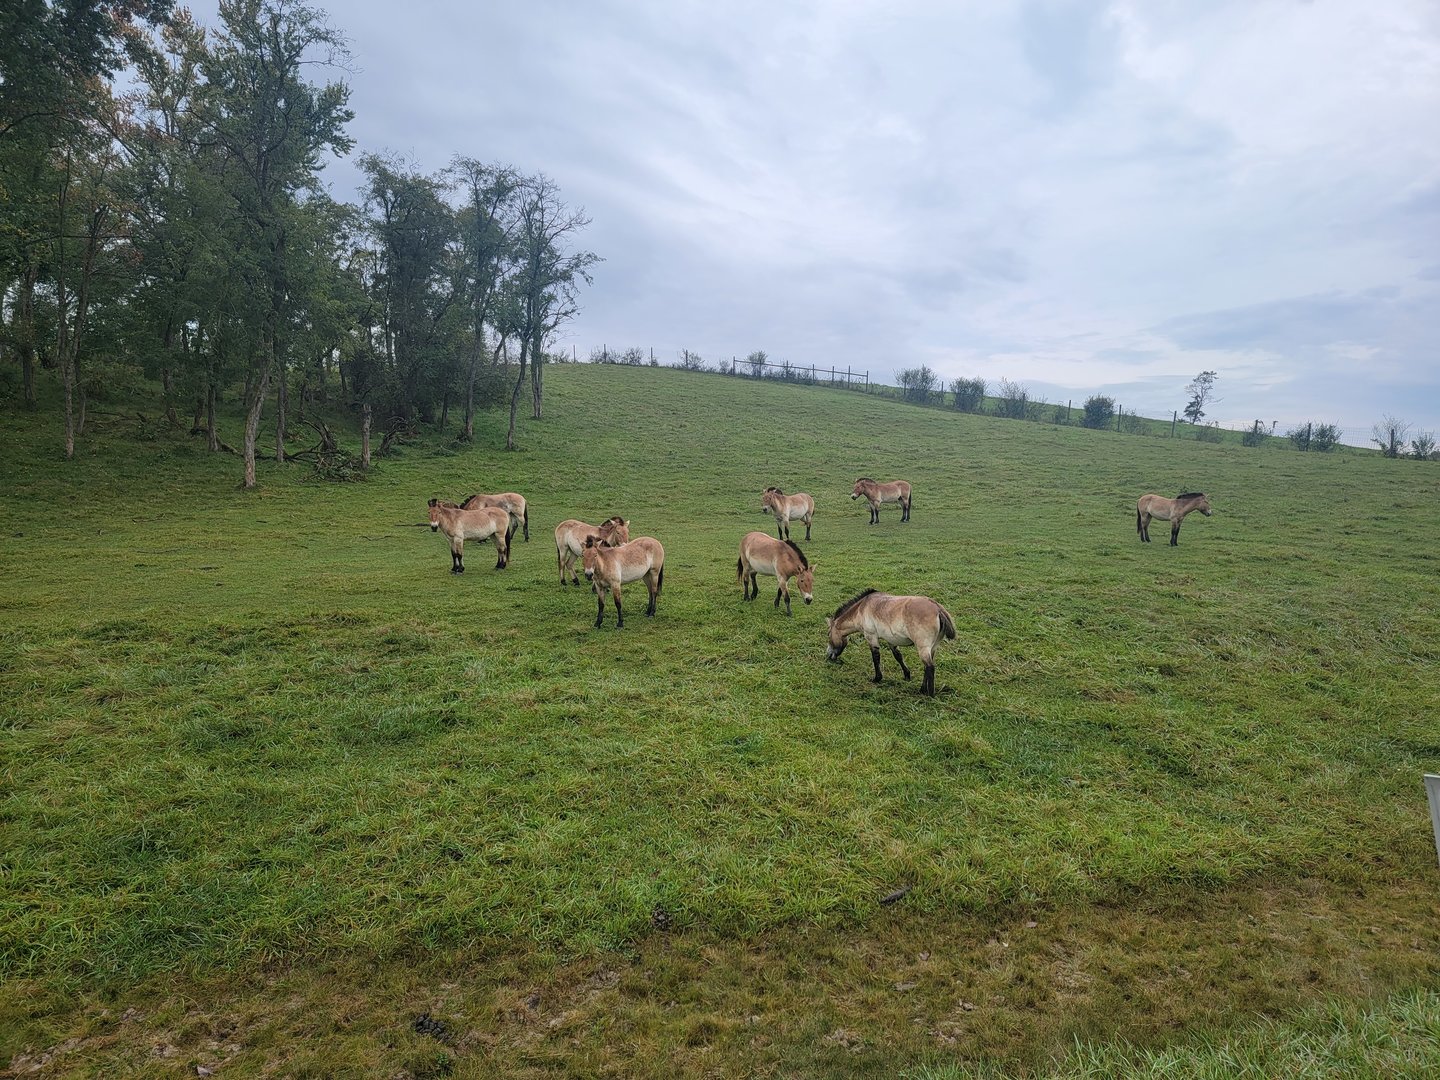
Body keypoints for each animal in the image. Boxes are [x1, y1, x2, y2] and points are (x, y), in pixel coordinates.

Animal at [825, 588, 955, 696]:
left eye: (828, 634)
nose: (828, 655)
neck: (862, 608)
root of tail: (938, 609)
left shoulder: (871, 637)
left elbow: (876, 657)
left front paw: (877, 678)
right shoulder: (891, 640)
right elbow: (898, 656)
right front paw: (907, 675)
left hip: (923, 647)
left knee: (930, 667)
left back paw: (930, 695)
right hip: (932, 648)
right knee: (926, 667)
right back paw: (922, 690)